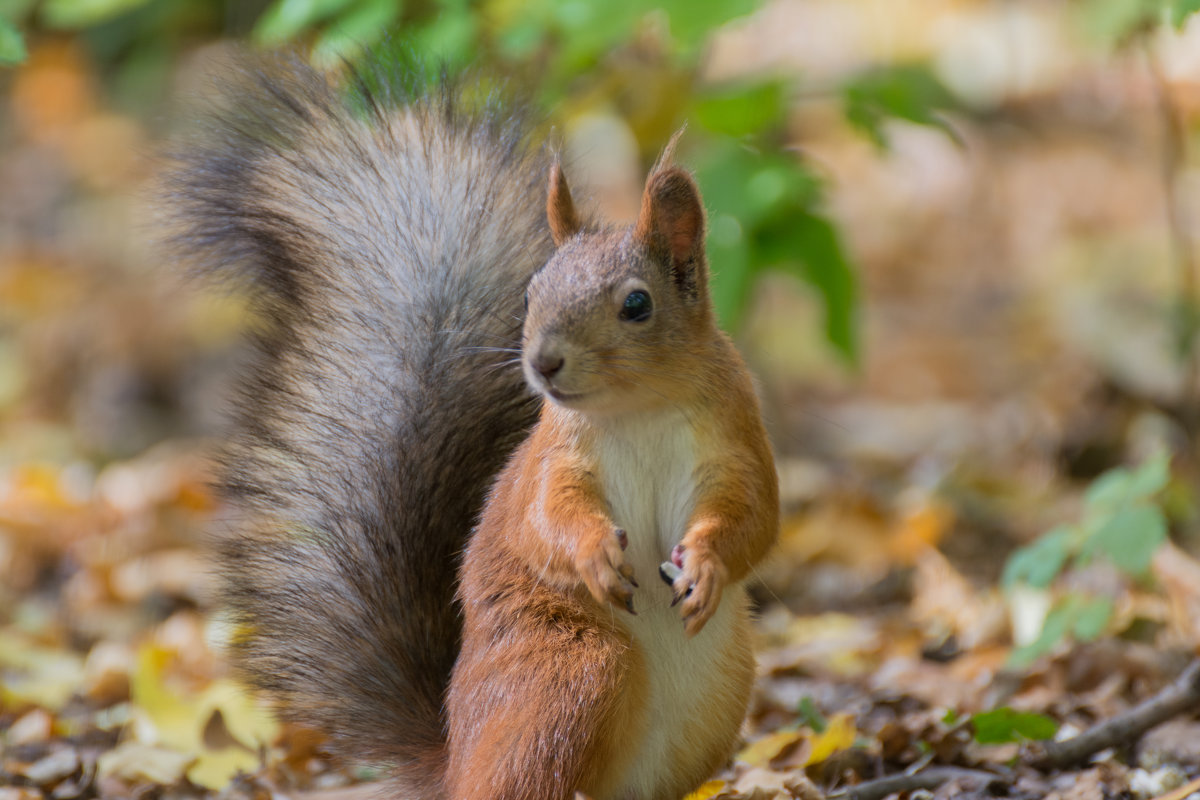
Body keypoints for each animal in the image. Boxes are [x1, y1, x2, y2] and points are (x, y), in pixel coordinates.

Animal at [164, 54, 777, 800]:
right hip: (564, 675)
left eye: (637, 304)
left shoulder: (735, 436)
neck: (638, 410)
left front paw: (709, 565)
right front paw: (594, 554)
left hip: (712, 697)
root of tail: (457, 756)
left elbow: (753, 515)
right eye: (533, 291)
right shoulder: (552, 460)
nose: (544, 362)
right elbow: (545, 518)